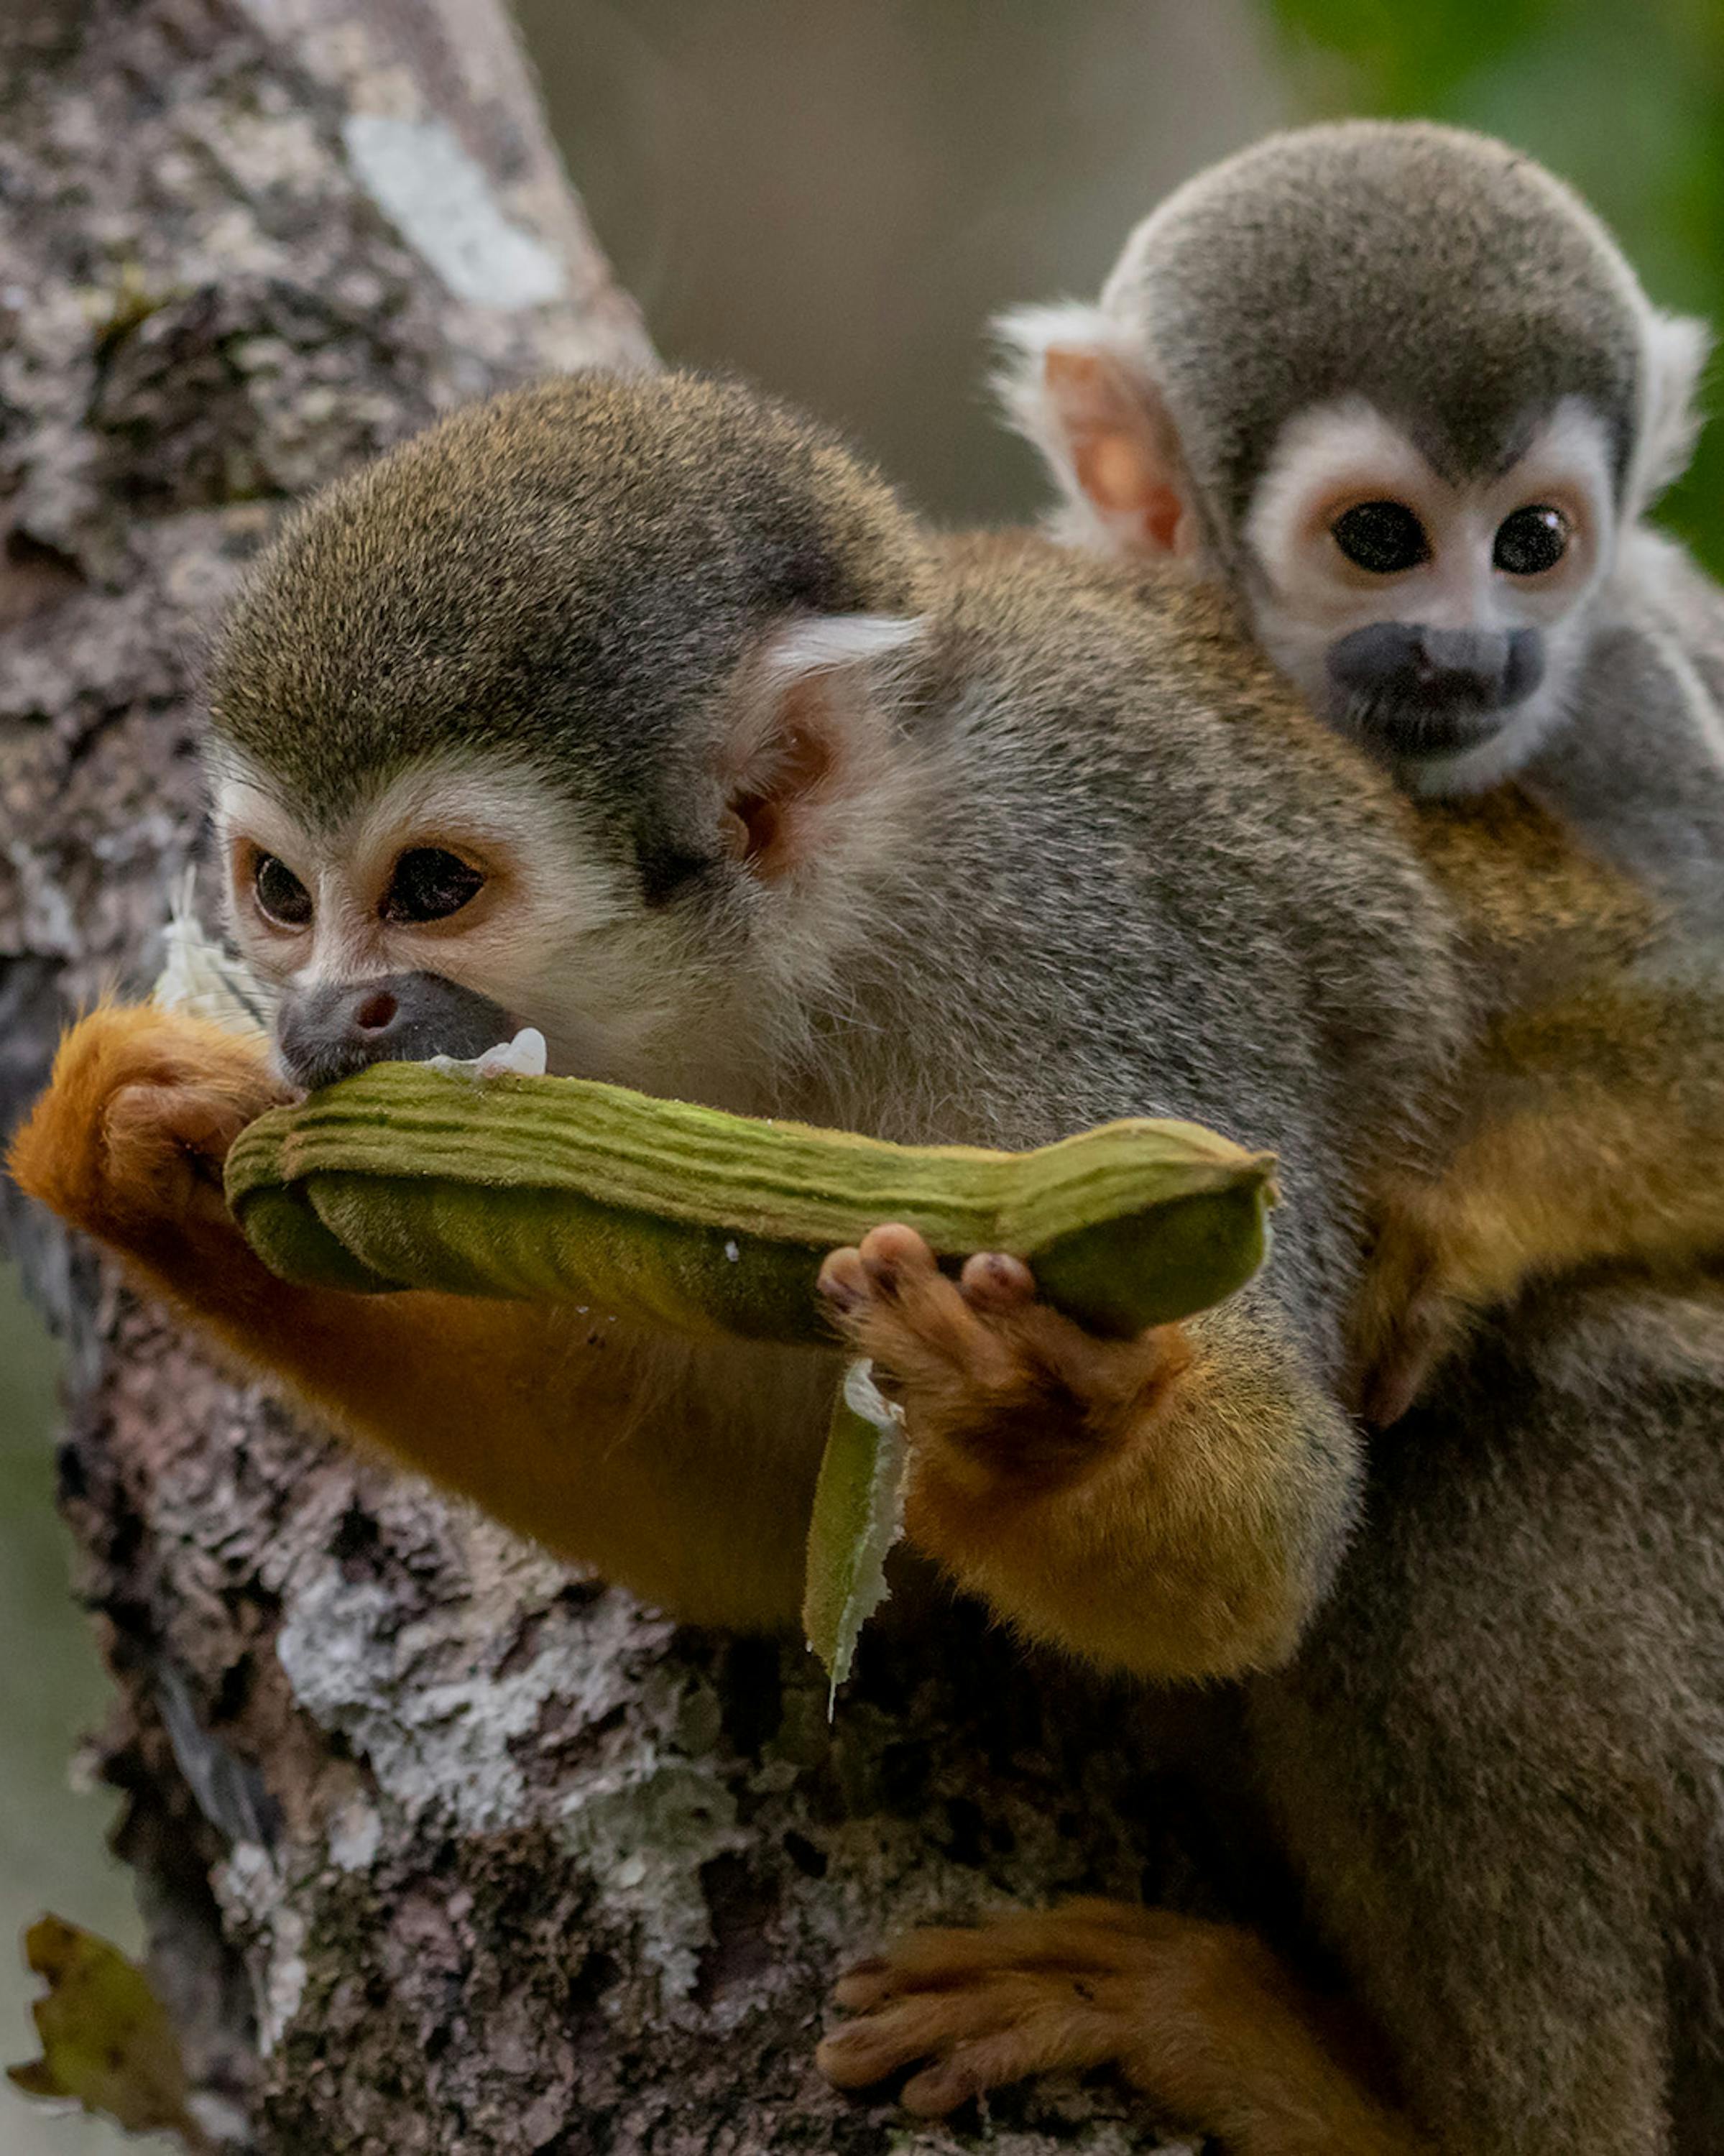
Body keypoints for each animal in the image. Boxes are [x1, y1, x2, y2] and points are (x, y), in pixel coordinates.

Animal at [15, 370, 1724, 2150]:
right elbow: (754, 1538)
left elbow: (1268, 1530)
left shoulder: (1082, 934)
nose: (318, 1019)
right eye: (281, 894)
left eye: (431, 888)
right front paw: (166, 1168)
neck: (828, 934)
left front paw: (1038, 1420)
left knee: (1488, 1455)